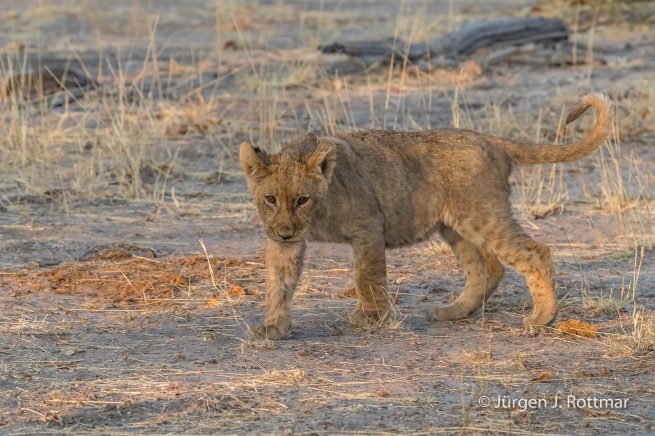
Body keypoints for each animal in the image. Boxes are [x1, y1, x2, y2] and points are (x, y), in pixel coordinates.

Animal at [240, 93, 612, 339]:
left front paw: (370, 318)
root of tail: (490, 140)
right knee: (487, 268)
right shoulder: (284, 243)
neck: (317, 215)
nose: (285, 231)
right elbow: (279, 282)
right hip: (456, 225)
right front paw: (273, 327)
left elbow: (367, 277)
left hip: (482, 214)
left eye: (302, 199)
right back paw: (453, 312)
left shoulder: (368, 226)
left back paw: (542, 319)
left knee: (535, 252)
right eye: (271, 199)